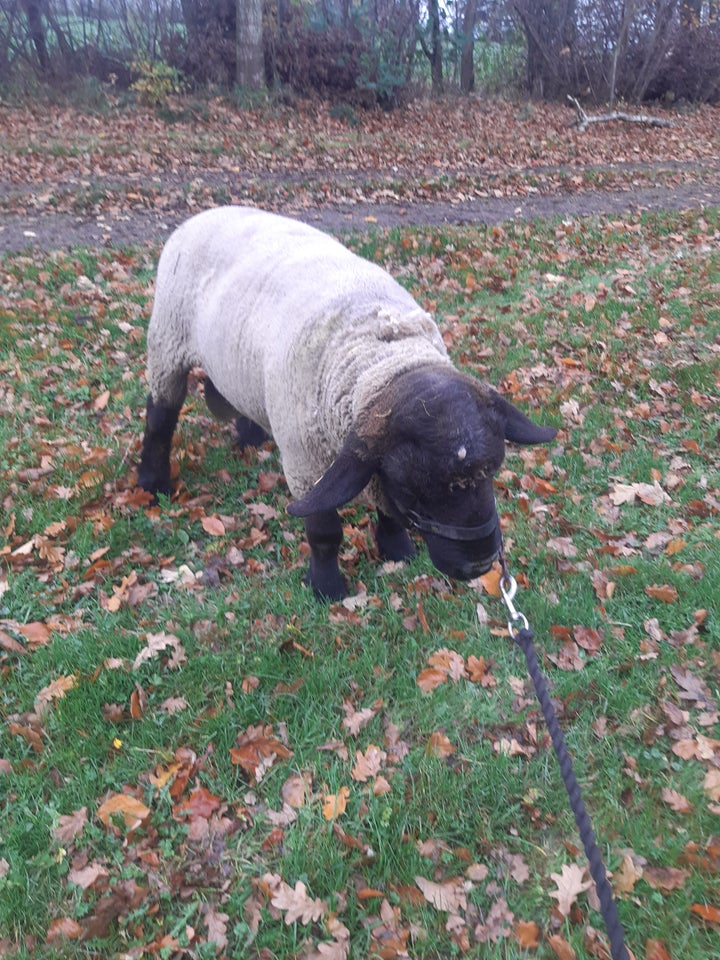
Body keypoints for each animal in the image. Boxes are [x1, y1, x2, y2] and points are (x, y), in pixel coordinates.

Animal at [139, 208, 556, 600]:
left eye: (493, 471)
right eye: (414, 488)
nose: (480, 564)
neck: (382, 355)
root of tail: (206, 213)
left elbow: (389, 513)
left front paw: (397, 550)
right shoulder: (306, 465)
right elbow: (325, 533)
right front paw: (326, 588)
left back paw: (250, 436)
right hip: (167, 343)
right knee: (160, 417)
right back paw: (153, 483)